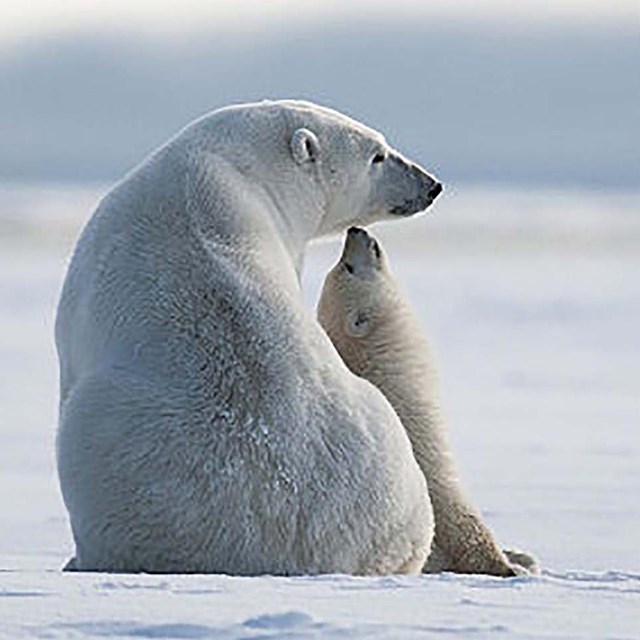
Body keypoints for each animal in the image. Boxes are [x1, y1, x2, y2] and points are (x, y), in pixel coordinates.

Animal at [318, 228, 536, 576]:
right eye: (347, 268)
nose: (355, 231)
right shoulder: (429, 464)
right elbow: (463, 525)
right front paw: (510, 567)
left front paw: (523, 557)